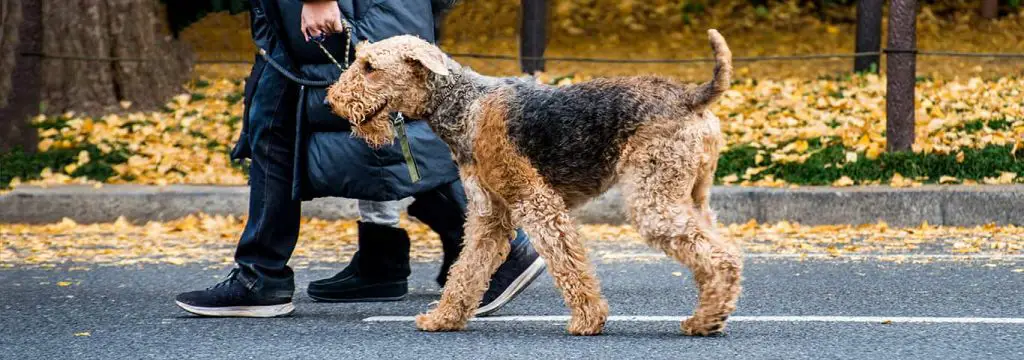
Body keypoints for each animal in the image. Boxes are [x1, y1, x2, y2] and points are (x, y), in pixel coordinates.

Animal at [327, 29, 745, 335]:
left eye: (369, 66)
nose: (333, 102)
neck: (464, 105)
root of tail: (691, 96)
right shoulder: (488, 215)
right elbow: (466, 269)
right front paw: (444, 318)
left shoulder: (535, 201)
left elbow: (566, 262)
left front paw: (588, 320)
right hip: (690, 196)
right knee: (719, 253)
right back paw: (708, 318)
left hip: (654, 200)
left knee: (722, 257)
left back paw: (705, 320)